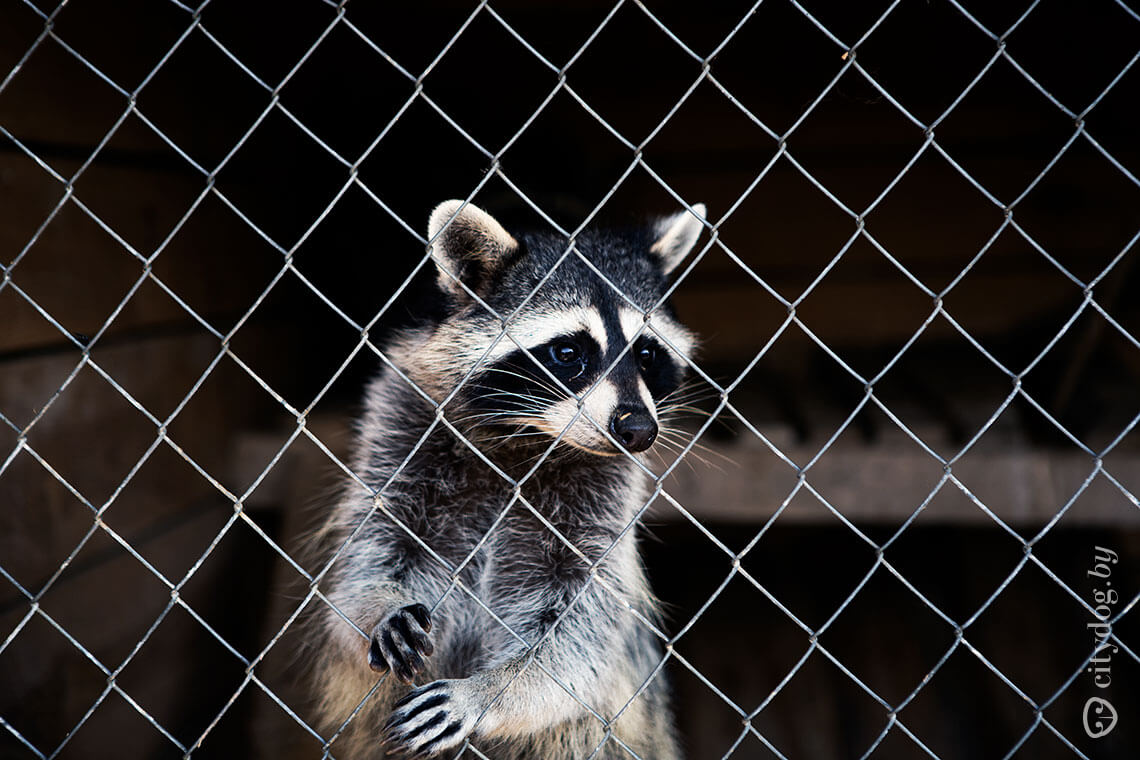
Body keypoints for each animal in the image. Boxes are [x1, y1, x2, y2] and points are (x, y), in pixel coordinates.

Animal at [307, 199, 706, 756]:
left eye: (646, 354)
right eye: (569, 352)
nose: (639, 430)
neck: (529, 438)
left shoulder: (603, 503)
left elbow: (580, 628)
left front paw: (490, 691)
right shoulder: (401, 427)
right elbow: (371, 556)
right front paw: (378, 607)